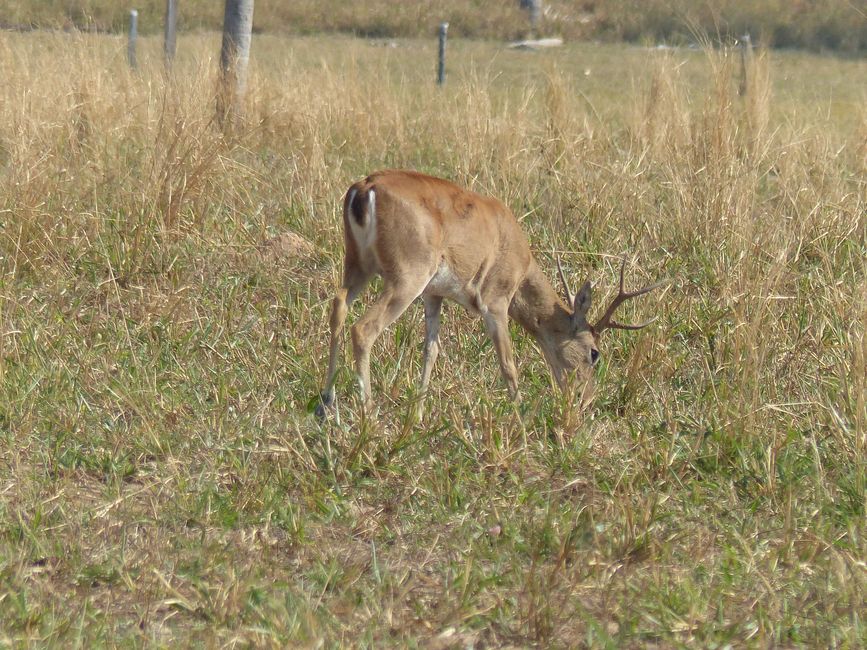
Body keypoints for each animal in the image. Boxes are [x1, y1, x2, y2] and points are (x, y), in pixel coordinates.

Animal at [316, 168, 660, 416]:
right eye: (594, 352)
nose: (585, 400)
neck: (521, 259)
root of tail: (364, 189)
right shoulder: (495, 301)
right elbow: (507, 361)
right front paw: (521, 415)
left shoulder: (434, 294)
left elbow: (431, 350)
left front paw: (418, 413)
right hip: (407, 275)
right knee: (364, 328)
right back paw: (367, 411)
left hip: (358, 264)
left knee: (338, 306)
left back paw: (327, 402)